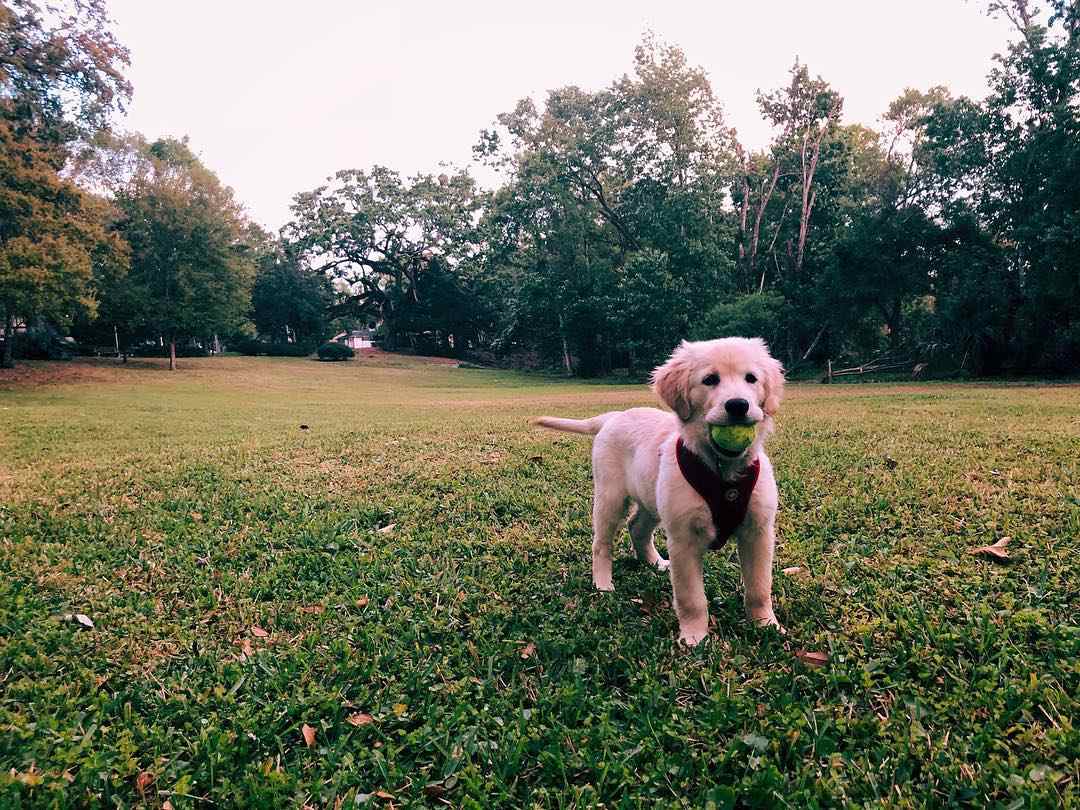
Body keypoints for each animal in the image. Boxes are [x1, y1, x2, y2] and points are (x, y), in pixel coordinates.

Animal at [533, 336, 781, 648]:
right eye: (710, 380)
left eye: (751, 378)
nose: (738, 405)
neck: (723, 473)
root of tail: (614, 416)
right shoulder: (683, 538)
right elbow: (691, 597)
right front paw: (694, 637)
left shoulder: (758, 531)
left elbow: (759, 587)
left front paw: (766, 626)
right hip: (610, 497)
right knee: (601, 543)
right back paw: (603, 583)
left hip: (653, 498)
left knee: (637, 527)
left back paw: (654, 562)